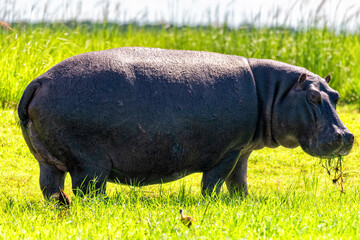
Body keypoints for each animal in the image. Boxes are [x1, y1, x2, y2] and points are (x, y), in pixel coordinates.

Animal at [18, 47, 352, 199]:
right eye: (313, 97)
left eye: (335, 95)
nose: (346, 136)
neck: (273, 91)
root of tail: (39, 81)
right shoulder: (227, 151)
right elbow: (215, 180)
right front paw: (211, 204)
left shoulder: (243, 149)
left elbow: (239, 180)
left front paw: (244, 202)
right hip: (91, 163)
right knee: (88, 191)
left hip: (48, 159)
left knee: (50, 187)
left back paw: (62, 205)